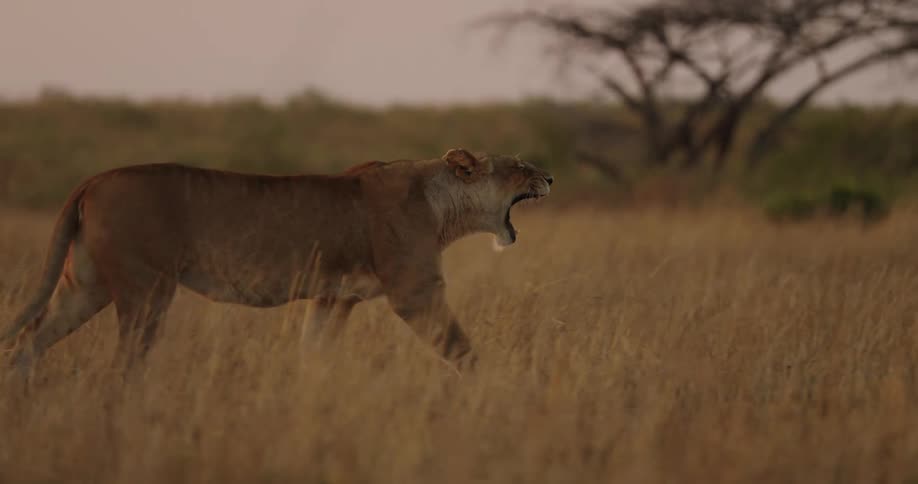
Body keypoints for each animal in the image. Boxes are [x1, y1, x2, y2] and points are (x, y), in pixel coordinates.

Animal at [2, 148, 553, 375]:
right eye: (519, 166)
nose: (550, 177)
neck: (442, 204)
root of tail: (95, 178)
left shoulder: (332, 299)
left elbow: (314, 354)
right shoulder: (414, 292)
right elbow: (463, 351)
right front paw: (495, 392)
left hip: (85, 285)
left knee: (28, 340)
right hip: (146, 289)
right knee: (124, 362)